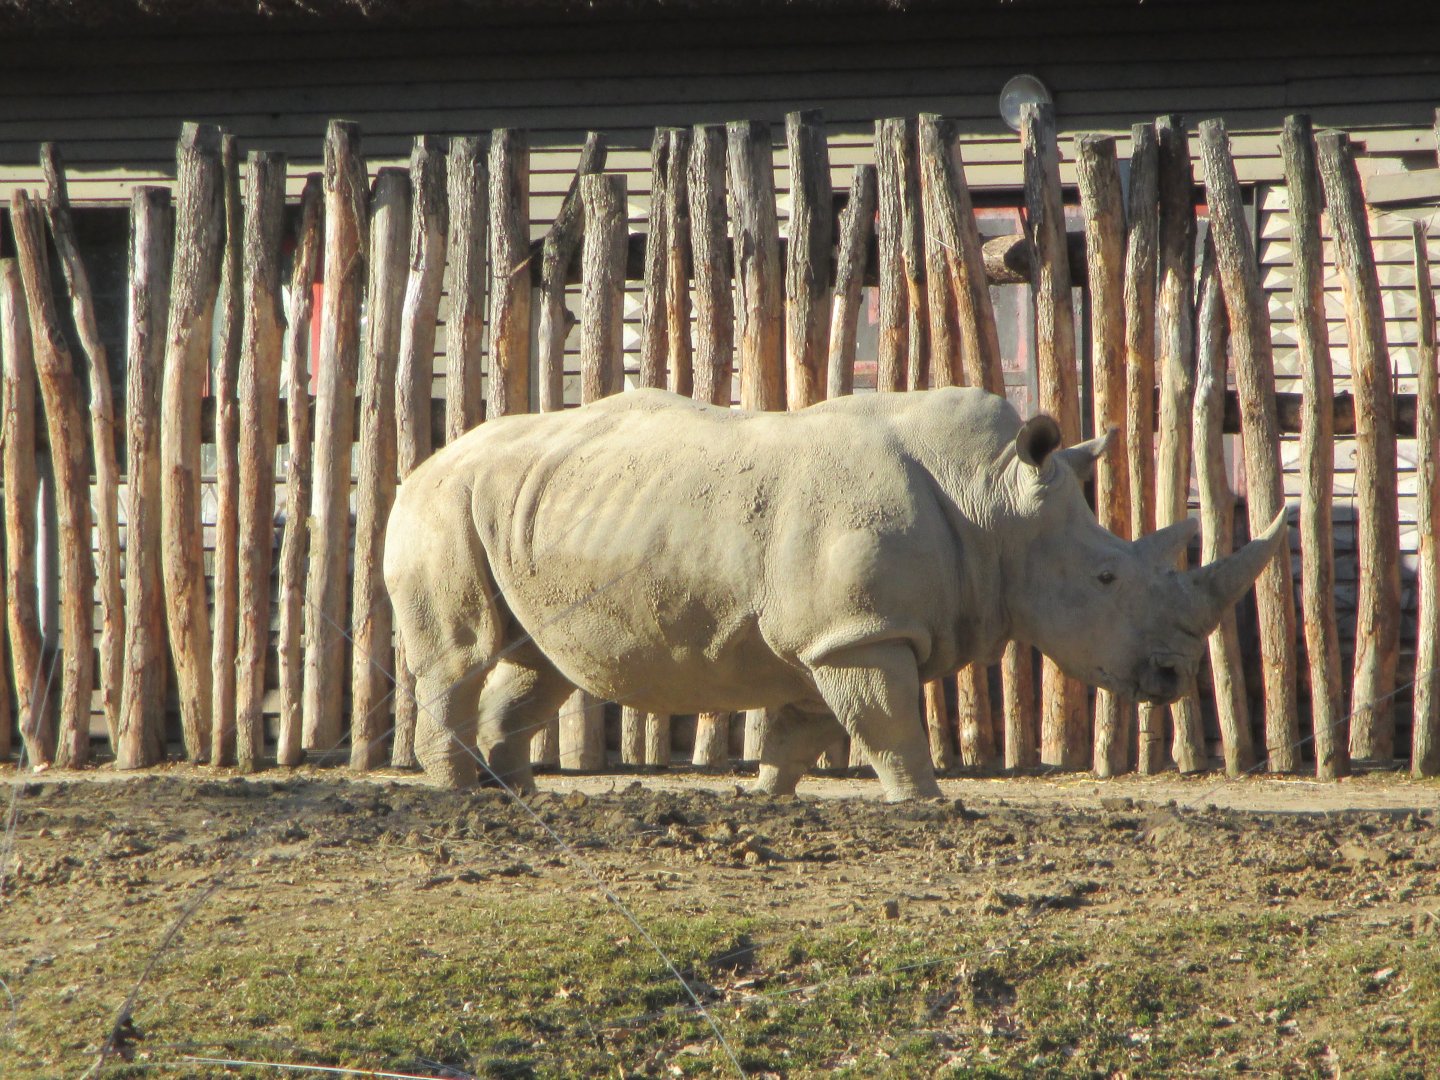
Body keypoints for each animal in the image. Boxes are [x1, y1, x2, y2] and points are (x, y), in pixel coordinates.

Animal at [384, 386, 1286, 801]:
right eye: (1105, 580)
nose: (1175, 676)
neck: (995, 504)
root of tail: (421, 461)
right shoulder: (861, 631)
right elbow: (891, 727)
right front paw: (927, 803)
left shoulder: (834, 633)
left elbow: (806, 729)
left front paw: (767, 798)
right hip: (442, 506)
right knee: (462, 657)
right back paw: (458, 792)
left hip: (528, 507)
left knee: (540, 664)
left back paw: (512, 792)